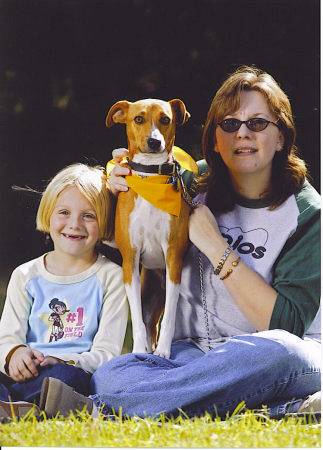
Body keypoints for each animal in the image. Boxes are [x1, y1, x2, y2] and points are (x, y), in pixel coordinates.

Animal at [106, 99, 192, 358]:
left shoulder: (173, 257)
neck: (150, 179)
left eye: (165, 119)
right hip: (150, 295)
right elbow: (136, 318)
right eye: (139, 119)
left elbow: (171, 316)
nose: (154, 142)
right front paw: (137, 350)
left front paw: (163, 351)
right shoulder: (130, 261)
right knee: (147, 323)